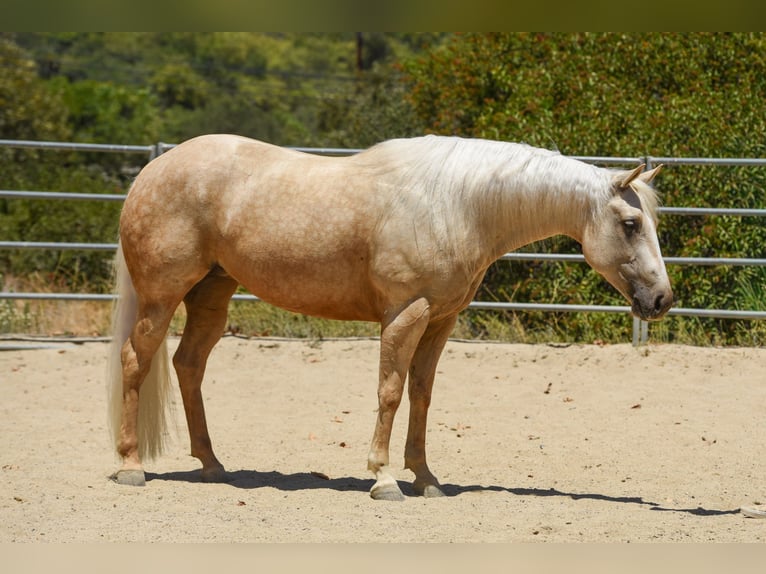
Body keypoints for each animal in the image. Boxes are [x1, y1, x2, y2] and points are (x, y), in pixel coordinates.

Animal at [107, 134, 672, 501]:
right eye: (630, 223)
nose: (662, 300)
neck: (457, 203)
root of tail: (152, 172)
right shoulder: (404, 315)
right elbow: (390, 392)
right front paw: (382, 479)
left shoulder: (441, 320)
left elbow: (421, 394)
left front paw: (425, 478)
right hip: (161, 298)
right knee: (137, 360)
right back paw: (132, 466)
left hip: (212, 296)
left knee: (188, 366)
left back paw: (212, 465)